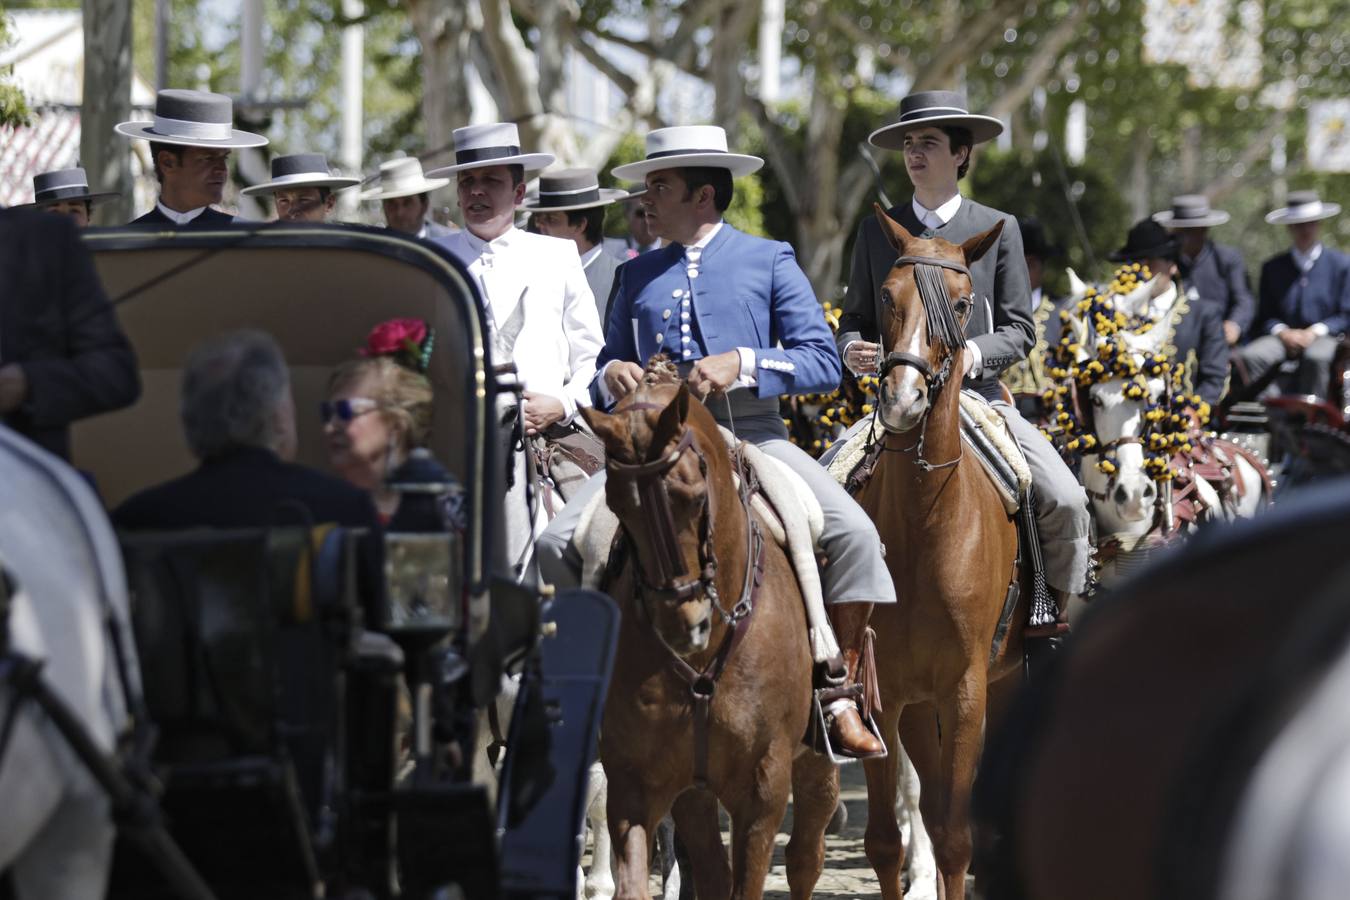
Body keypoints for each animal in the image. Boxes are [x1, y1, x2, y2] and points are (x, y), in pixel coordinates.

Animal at [585, 367, 837, 900]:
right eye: (618, 504)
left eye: (694, 494)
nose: (685, 624)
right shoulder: (635, 784)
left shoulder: (762, 792)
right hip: (693, 792)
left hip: (814, 760)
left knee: (806, 856)